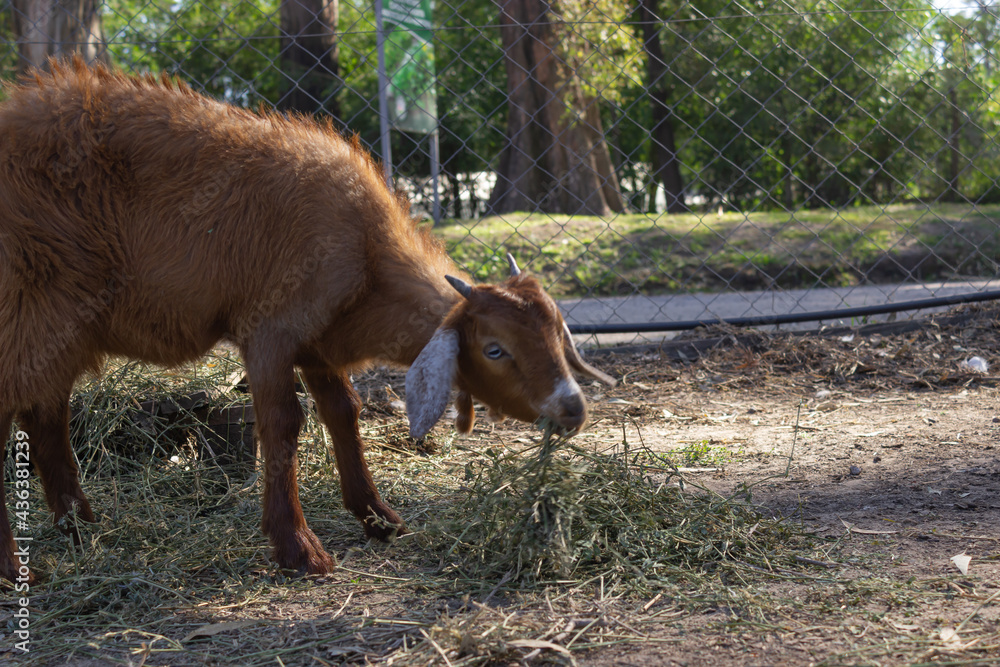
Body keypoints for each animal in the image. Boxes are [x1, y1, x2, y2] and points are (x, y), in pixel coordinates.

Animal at [0, 59, 615, 582]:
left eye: (555, 333)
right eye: (494, 348)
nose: (572, 409)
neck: (365, 251)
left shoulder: (319, 341)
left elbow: (344, 413)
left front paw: (378, 518)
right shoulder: (269, 329)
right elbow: (282, 424)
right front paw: (297, 548)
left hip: (60, 331)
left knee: (45, 415)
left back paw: (79, 528)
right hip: (28, 310)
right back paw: (15, 566)